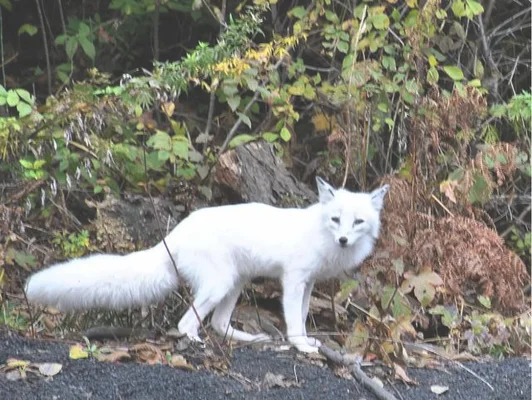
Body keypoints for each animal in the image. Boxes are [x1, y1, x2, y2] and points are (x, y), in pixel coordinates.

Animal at [26, 178, 386, 354]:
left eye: (357, 222)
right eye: (335, 219)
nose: (343, 239)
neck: (321, 235)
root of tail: (174, 234)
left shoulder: (309, 283)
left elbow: (304, 316)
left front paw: (307, 342)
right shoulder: (294, 280)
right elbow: (294, 320)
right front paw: (301, 346)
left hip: (234, 283)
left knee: (219, 323)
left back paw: (249, 339)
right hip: (219, 284)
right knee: (187, 323)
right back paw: (196, 343)